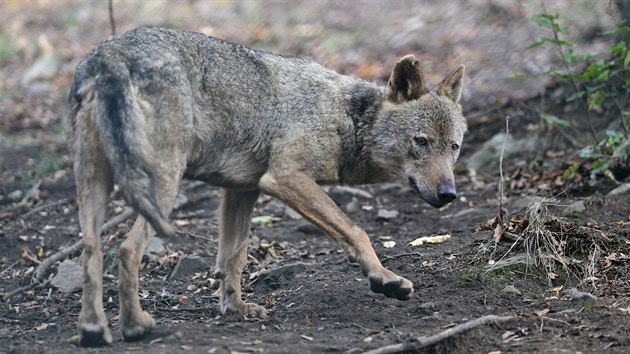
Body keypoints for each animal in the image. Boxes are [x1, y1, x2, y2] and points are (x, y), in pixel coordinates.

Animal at [65, 27, 470, 346]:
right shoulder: (285, 178)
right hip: (163, 187)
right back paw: (135, 327)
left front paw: (235, 309)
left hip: (94, 185)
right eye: (421, 142)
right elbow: (356, 231)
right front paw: (385, 279)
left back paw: (93, 331)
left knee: (91, 251)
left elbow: (233, 256)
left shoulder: (242, 190)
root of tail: (109, 54)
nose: (448, 194)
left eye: (454, 147)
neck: (349, 119)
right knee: (127, 249)